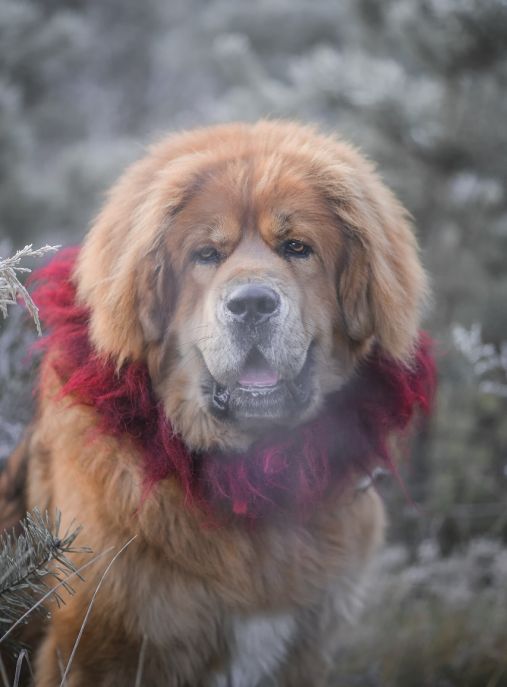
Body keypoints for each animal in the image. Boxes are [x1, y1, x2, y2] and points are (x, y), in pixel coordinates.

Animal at [1, 121, 434, 684]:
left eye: (297, 247)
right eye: (206, 254)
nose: (252, 304)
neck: (249, 476)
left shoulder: (302, 652)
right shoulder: (100, 648)